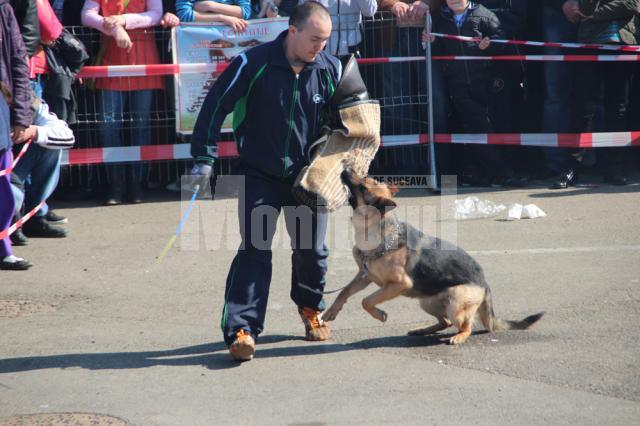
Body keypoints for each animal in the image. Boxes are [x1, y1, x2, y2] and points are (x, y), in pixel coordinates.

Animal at [322, 168, 544, 344]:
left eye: (364, 186)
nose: (346, 168)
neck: (376, 232)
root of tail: (484, 283)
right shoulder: (365, 275)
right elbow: (345, 292)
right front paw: (331, 311)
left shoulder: (399, 284)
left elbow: (366, 301)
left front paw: (379, 314)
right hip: (426, 301)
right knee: (444, 322)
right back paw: (422, 329)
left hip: (455, 300)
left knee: (465, 325)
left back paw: (458, 337)